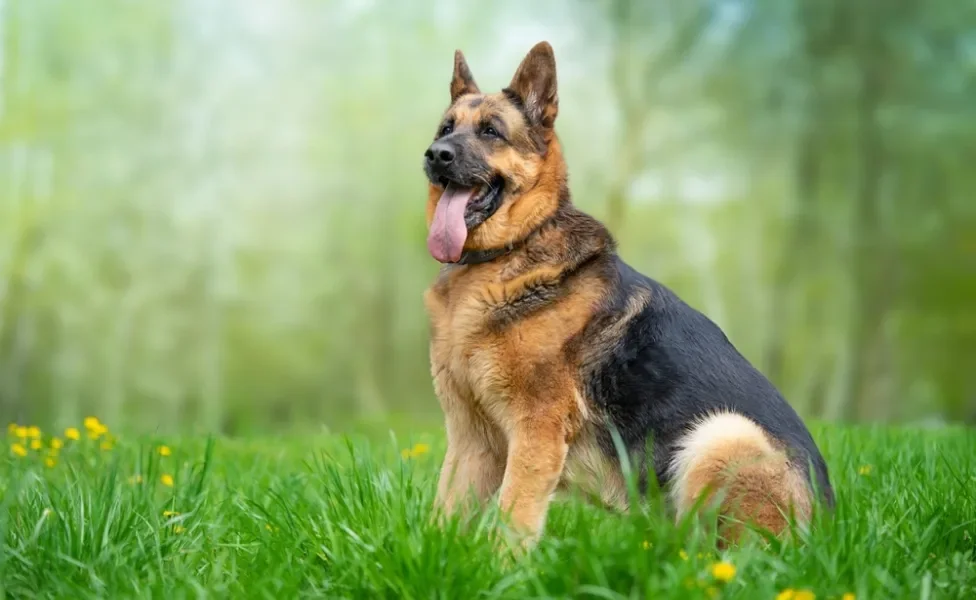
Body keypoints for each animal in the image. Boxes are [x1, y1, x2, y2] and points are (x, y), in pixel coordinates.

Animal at [420, 42, 832, 548]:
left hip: (723, 433)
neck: (506, 253)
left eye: (491, 131)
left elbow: (513, 520)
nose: (435, 155)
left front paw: (502, 566)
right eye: (446, 129)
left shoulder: (535, 432)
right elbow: (443, 518)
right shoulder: (471, 440)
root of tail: (829, 524)